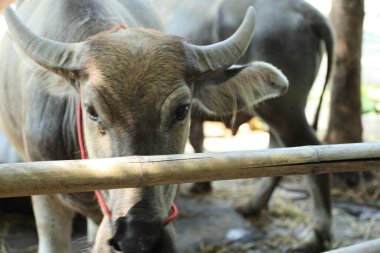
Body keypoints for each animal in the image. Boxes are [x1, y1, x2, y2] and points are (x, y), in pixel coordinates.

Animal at [166, 0, 332, 251]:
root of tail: (308, 11)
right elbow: (196, 141)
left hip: (284, 111)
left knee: (311, 151)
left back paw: (317, 236)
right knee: (281, 152)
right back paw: (252, 206)